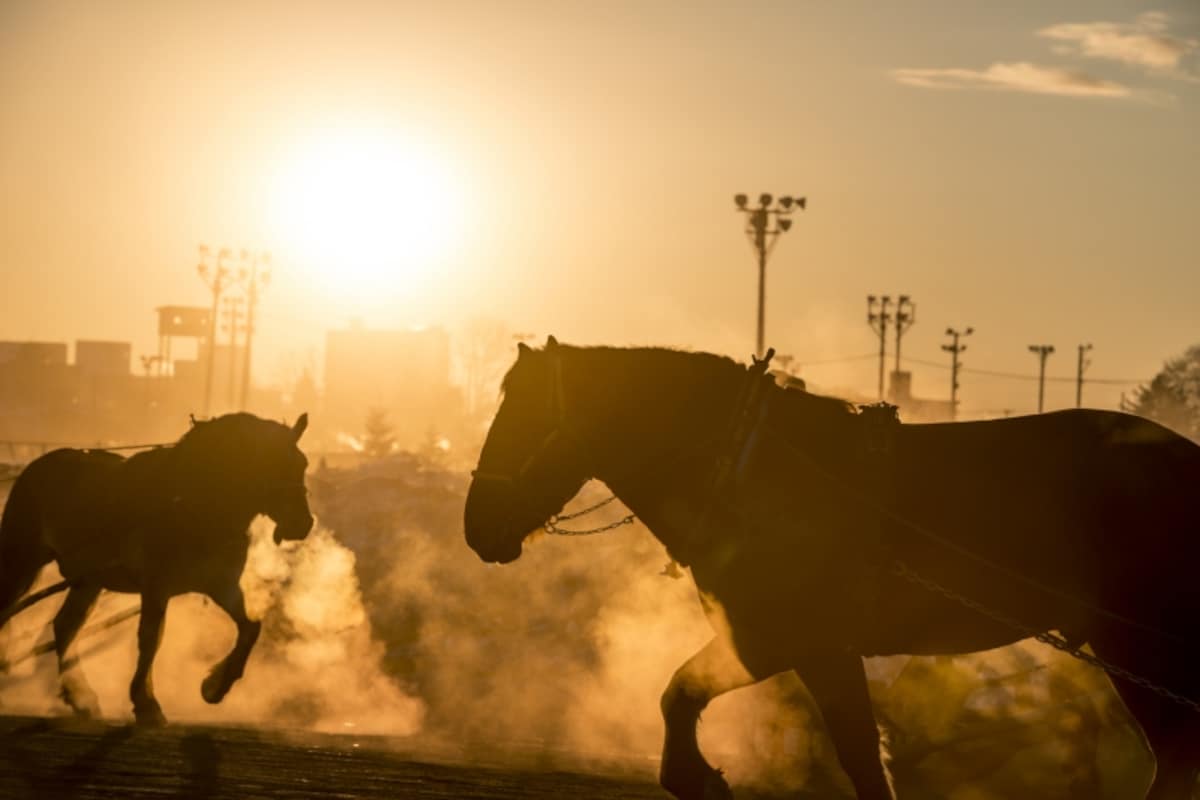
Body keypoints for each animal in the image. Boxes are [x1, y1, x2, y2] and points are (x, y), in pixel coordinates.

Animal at [0, 412, 314, 726]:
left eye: (302, 464)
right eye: (272, 462)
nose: (303, 523)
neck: (194, 502)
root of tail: (34, 467)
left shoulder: (221, 584)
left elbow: (250, 628)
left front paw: (215, 686)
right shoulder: (155, 585)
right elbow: (151, 639)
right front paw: (146, 704)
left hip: (88, 579)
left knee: (65, 626)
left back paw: (81, 697)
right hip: (22, 562)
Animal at [464, 337, 1200, 800]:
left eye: (522, 418)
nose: (475, 527)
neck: (749, 465)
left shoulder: (786, 641)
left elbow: (692, 698)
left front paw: (699, 777)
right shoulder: (804, 648)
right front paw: (700, 777)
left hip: (1140, 647)